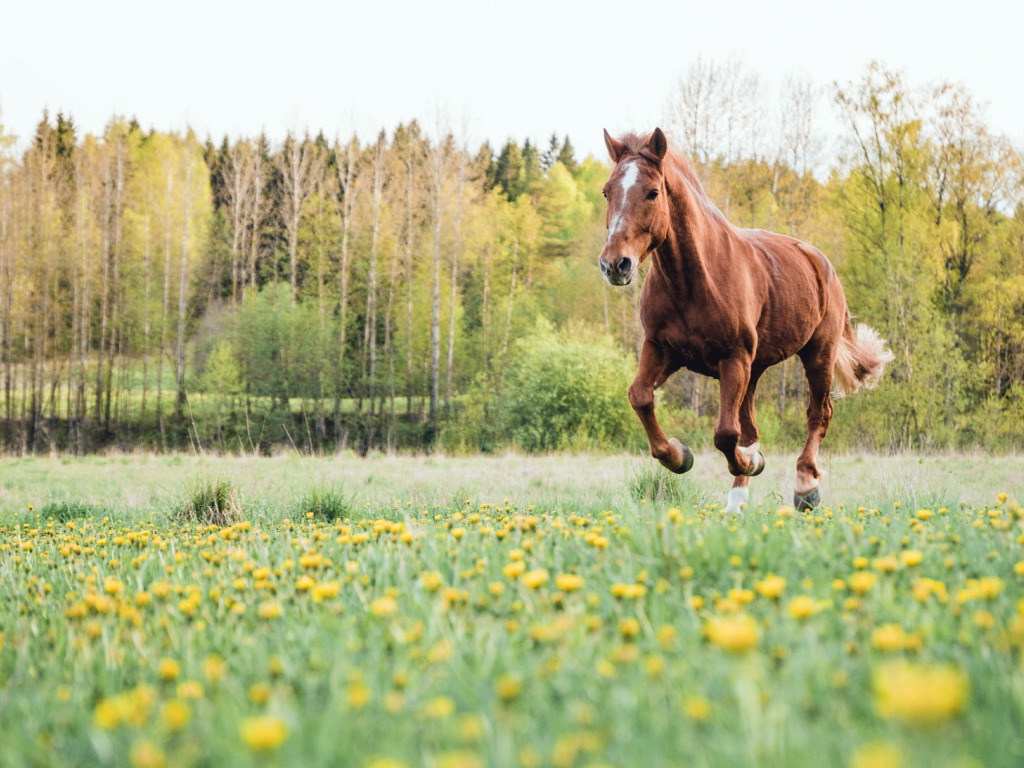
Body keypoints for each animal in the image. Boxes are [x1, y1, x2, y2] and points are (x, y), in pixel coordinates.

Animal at [598, 129, 892, 514]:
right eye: (607, 191)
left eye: (652, 192)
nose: (614, 264)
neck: (693, 281)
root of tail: (819, 260)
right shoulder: (662, 349)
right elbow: (641, 397)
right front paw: (680, 456)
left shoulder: (732, 358)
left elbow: (725, 433)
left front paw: (752, 462)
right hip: (755, 369)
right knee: (751, 426)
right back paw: (737, 500)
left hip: (818, 353)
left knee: (819, 413)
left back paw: (805, 488)